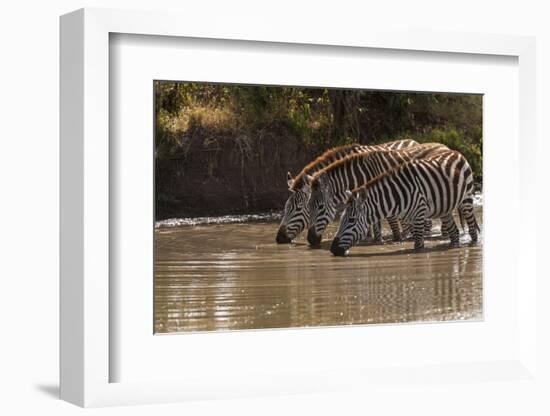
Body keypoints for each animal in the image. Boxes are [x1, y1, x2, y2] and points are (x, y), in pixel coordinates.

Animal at [306, 143, 452, 247]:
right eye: (308, 206)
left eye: (321, 207)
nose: (310, 240)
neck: (362, 176)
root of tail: (444, 146)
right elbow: (375, 221)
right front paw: (377, 239)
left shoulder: (388, 195)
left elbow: (390, 222)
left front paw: (396, 239)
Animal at [330, 152, 480, 256]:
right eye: (341, 219)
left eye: (351, 220)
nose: (332, 249)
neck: (395, 196)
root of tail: (456, 152)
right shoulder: (409, 219)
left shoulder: (419, 214)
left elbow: (418, 246)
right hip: (445, 209)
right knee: (454, 232)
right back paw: (453, 248)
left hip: (466, 200)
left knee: (472, 229)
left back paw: (473, 245)